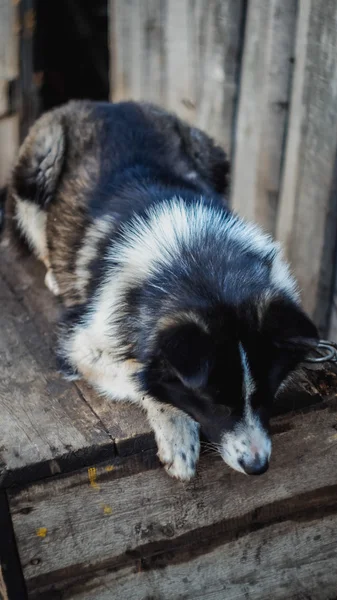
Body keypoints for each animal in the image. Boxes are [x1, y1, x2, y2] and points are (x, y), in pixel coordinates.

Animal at [7, 101, 318, 480]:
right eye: (215, 401)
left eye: (265, 394)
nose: (257, 467)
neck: (197, 263)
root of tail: (106, 104)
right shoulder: (79, 344)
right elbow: (142, 377)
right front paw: (178, 437)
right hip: (41, 159)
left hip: (209, 153)